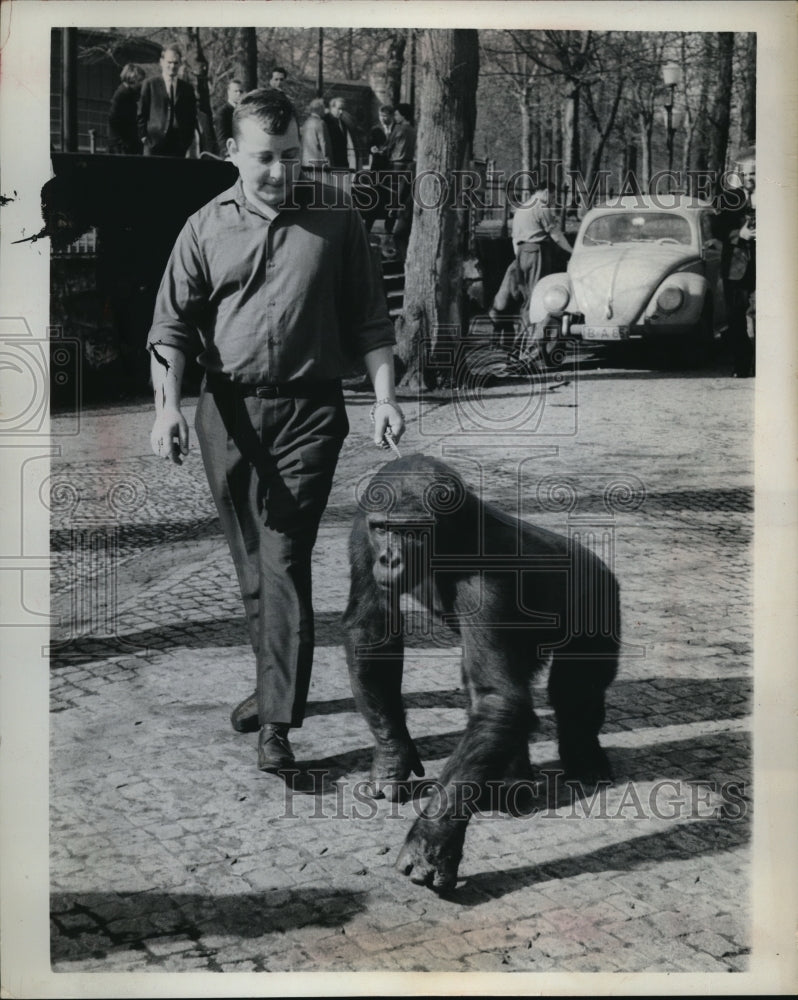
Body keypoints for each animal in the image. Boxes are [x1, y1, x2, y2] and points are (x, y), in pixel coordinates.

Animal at [342, 454, 620, 892]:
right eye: (383, 528)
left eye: (411, 531)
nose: (389, 558)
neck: (449, 536)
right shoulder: (360, 532)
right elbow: (371, 632)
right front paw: (391, 756)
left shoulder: (486, 580)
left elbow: (500, 699)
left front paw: (432, 840)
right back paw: (509, 784)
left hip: (599, 599)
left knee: (574, 695)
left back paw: (584, 760)